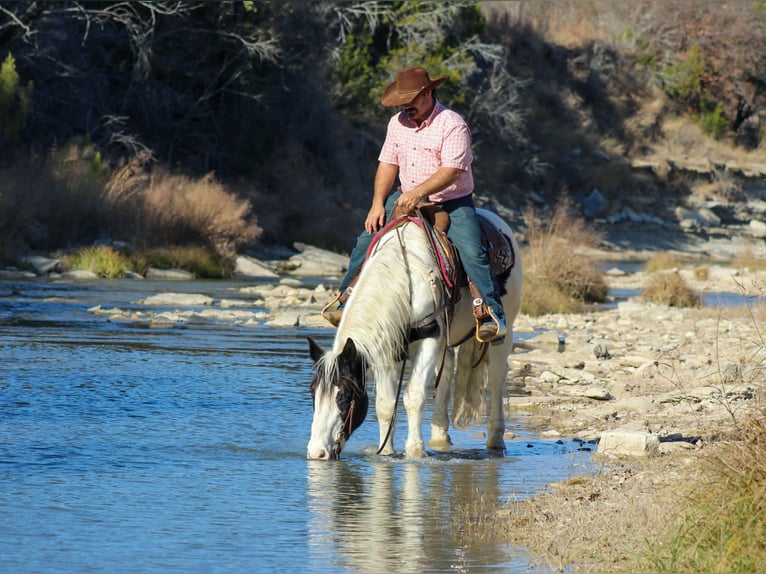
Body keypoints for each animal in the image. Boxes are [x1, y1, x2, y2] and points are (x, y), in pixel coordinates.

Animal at [306, 208, 522, 460]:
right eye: (313, 392)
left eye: (344, 396)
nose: (317, 453)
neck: (405, 277)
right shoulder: (387, 344)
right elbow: (385, 403)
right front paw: (386, 451)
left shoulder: (430, 339)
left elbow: (414, 396)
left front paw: (415, 450)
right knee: (446, 371)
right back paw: (439, 436)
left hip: (504, 330)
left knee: (497, 376)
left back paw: (496, 439)